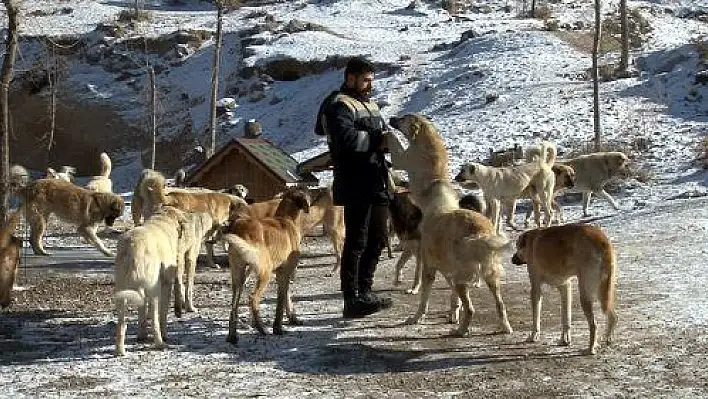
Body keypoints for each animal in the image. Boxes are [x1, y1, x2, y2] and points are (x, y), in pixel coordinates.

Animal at [113, 206, 187, 356]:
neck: (163, 220)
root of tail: (133, 246)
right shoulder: (166, 284)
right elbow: (162, 314)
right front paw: (164, 335)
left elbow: (142, 312)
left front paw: (142, 336)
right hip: (154, 289)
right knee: (154, 318)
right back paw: (160, 343)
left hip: (122, 290)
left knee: (121, 323)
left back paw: (120, 351)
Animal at [221, 188, 310, 344]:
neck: (285, 218)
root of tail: (242, 226)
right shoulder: (284, 273)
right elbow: (280, 302)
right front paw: (278, 328)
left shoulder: (281, 274)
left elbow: (286, 296)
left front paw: (292, 318)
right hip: (264, 273)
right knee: (253, 298)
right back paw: (261, 328)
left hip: (238, 276)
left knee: (233, 306)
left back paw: (232, 336)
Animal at [388, 113, 516, 338]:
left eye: (403, 118)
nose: (391, 118)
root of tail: (481, 234)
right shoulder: (446, 270)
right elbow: (453, 299)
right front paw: (452, 313)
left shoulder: (430, 268)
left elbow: (424, 299)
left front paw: (416, 318)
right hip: (489, 277)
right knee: (500, 305)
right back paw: (504, 327)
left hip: (462, 278)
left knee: (471, 308)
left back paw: (461, 330)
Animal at [512, 225, 616, 356]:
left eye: (517, 247)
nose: (512, 259)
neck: (531, 240)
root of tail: (602, 240)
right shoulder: (565, 286)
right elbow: (566, 317)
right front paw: (565, 339)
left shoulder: (535, 287)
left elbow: (536, 317)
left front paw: (533, 336)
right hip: (603, 293)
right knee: (612, 316)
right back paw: (606, 340)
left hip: (586, 294)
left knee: (594, 325)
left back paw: (590, 349)